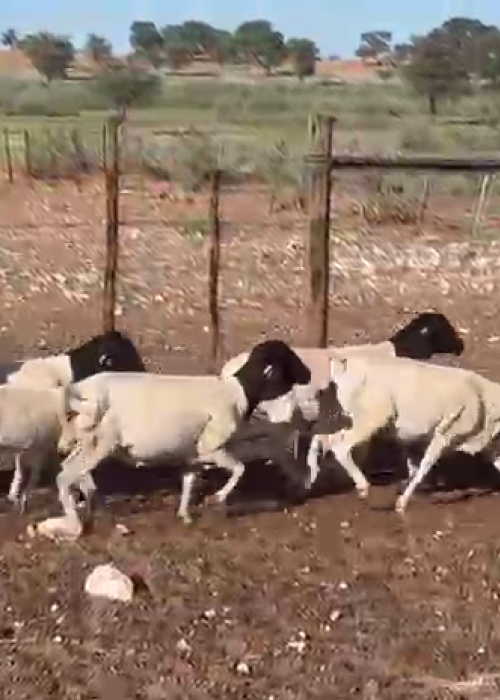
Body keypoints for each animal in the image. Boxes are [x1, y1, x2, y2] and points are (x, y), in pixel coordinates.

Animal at [34, 339, 312, 541]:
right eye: (288, 359)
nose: (309, 375)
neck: (238, 391)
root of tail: (79, 391)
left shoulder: (194, 456)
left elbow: (189, 482)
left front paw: (185, 515)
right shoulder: (211, 447)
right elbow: (239, 469)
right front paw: (217, 498)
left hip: (84, 441)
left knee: (71, 472)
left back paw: (92, 505)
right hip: (100, 443)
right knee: (65, 476)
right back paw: (75, 525)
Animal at [308, 351, 500, 514]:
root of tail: (344, 363)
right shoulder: (444, 434)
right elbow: (424, 467)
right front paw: (402, 502)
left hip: (351, 417)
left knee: (325, 438)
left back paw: (314, 475)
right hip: (371, 418)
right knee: (339, 446)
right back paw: (362, 486)